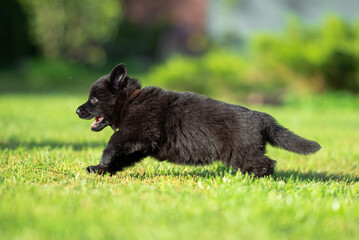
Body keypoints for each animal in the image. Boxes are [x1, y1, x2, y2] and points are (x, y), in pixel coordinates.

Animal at [77, 63, 322, 176]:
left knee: (267, 164)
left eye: (94, 99)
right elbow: (121, 158)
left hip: (241, 153)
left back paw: (258, 179)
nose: (77, 111)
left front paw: (103, 160)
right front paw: (101, 169)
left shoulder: (140, 132)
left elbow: (114, 141)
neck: (131, 100)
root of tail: (261, 117)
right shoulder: (140, 145)